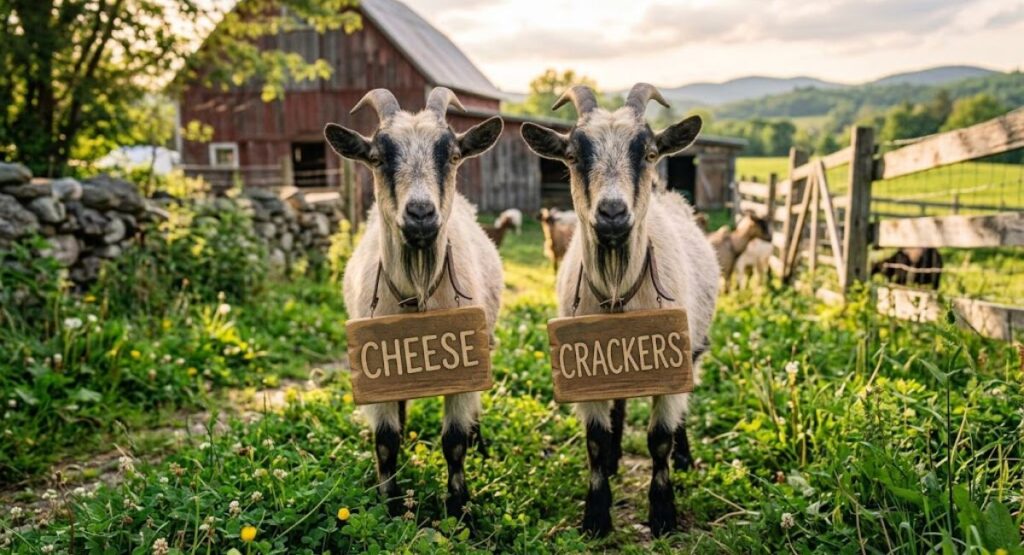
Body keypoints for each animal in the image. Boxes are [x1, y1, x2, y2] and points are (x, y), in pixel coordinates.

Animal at [325, 87, 504, 518]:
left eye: (452, 154)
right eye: (377, 157)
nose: (421, 213)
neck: (418, 295)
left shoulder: (464, 367)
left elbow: (454, 440)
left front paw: (458, 510)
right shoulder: (375, 369)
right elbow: (386, 439)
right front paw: (389, 507)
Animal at [521, 83, 720, 537]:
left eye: (648, 152)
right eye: (573, 155)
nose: (612, 213)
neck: (619, 293)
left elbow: (660, 437)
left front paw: (663, 513)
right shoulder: (584, 369)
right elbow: (595, 437)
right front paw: (596, 514)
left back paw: (685, 457)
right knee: (620, 404)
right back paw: (614, 459)